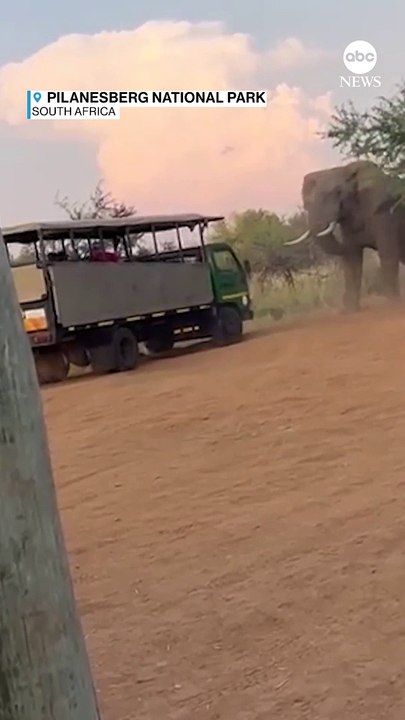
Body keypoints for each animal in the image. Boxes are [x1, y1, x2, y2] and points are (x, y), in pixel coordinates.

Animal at [286, 159, 405, 311]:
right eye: (306, 202)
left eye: (338, 192)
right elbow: (352, 259)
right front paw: (349, 311)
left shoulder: (383, 211)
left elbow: (387, 253)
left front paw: (392, 303)